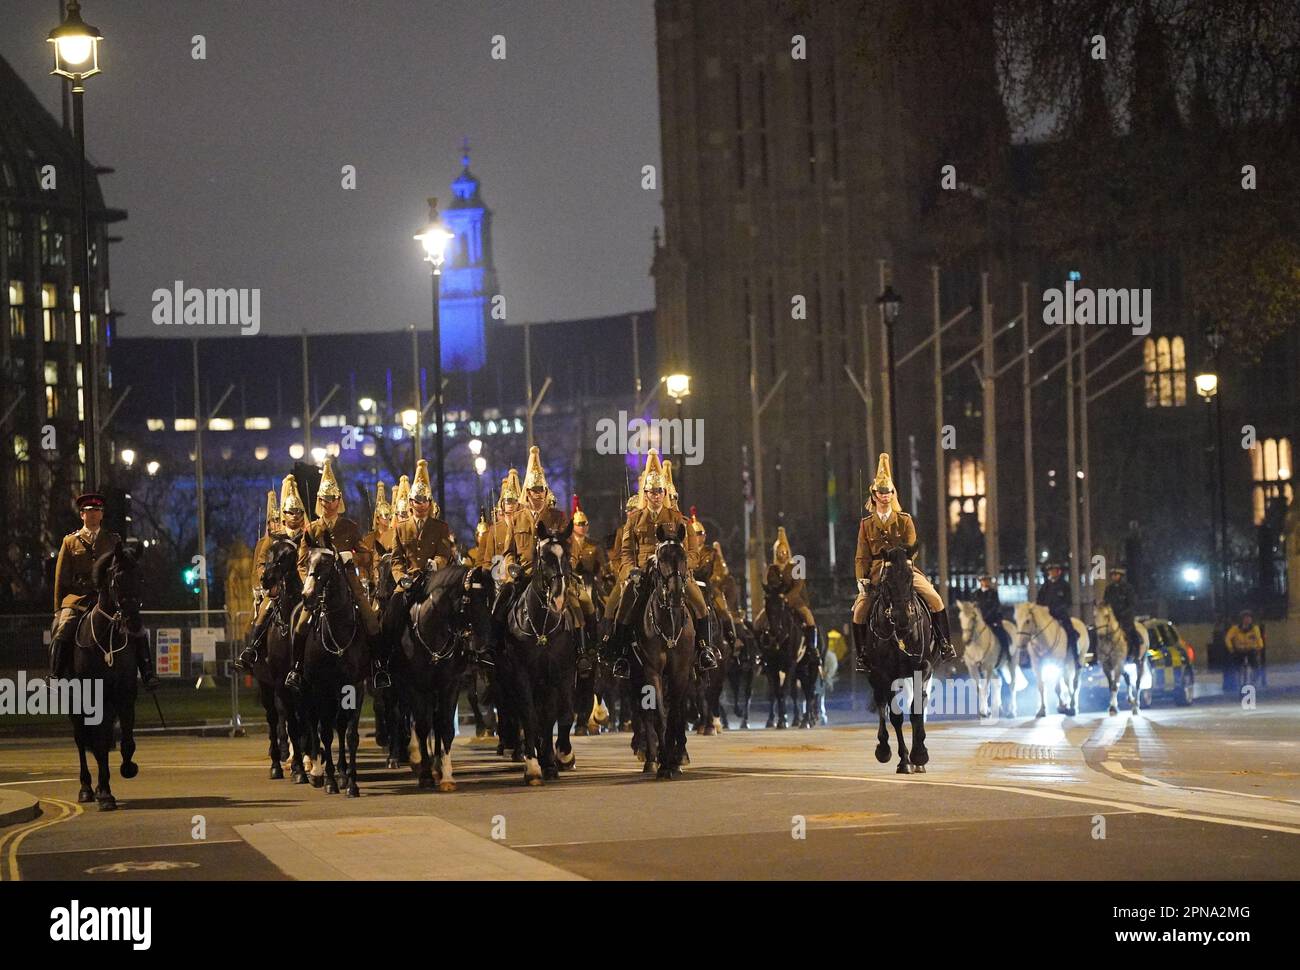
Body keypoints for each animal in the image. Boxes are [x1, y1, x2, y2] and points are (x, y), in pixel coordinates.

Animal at [69, 540, 145, 806]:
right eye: (118, 578)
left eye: (140, 576)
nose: (134, 623)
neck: (105, 637)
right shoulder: (94, 699)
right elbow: (100, 744)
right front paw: (104, 792)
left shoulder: (124, 696)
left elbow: (127, 740)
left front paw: (128, 767)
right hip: (74, 706)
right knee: (81, 740)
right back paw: (86, 788)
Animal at [499, 517, 577, 780]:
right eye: (543, 557)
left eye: (567, 555)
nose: (558, 599)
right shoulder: (521, 675)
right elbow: (529, 715)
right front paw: (532, 765)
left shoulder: (555, 673)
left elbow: (552, 715)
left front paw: (553, 760)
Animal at [852, 543, 935, 769]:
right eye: (887, 580)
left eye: (910, 576)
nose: (902, 618)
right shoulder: (883, 674)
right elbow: (895, 716)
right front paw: (904, 759)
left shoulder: (923, 667)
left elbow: (916, 709)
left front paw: (920, 754)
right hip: (875, 676)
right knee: (881, 703)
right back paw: (886, 749)